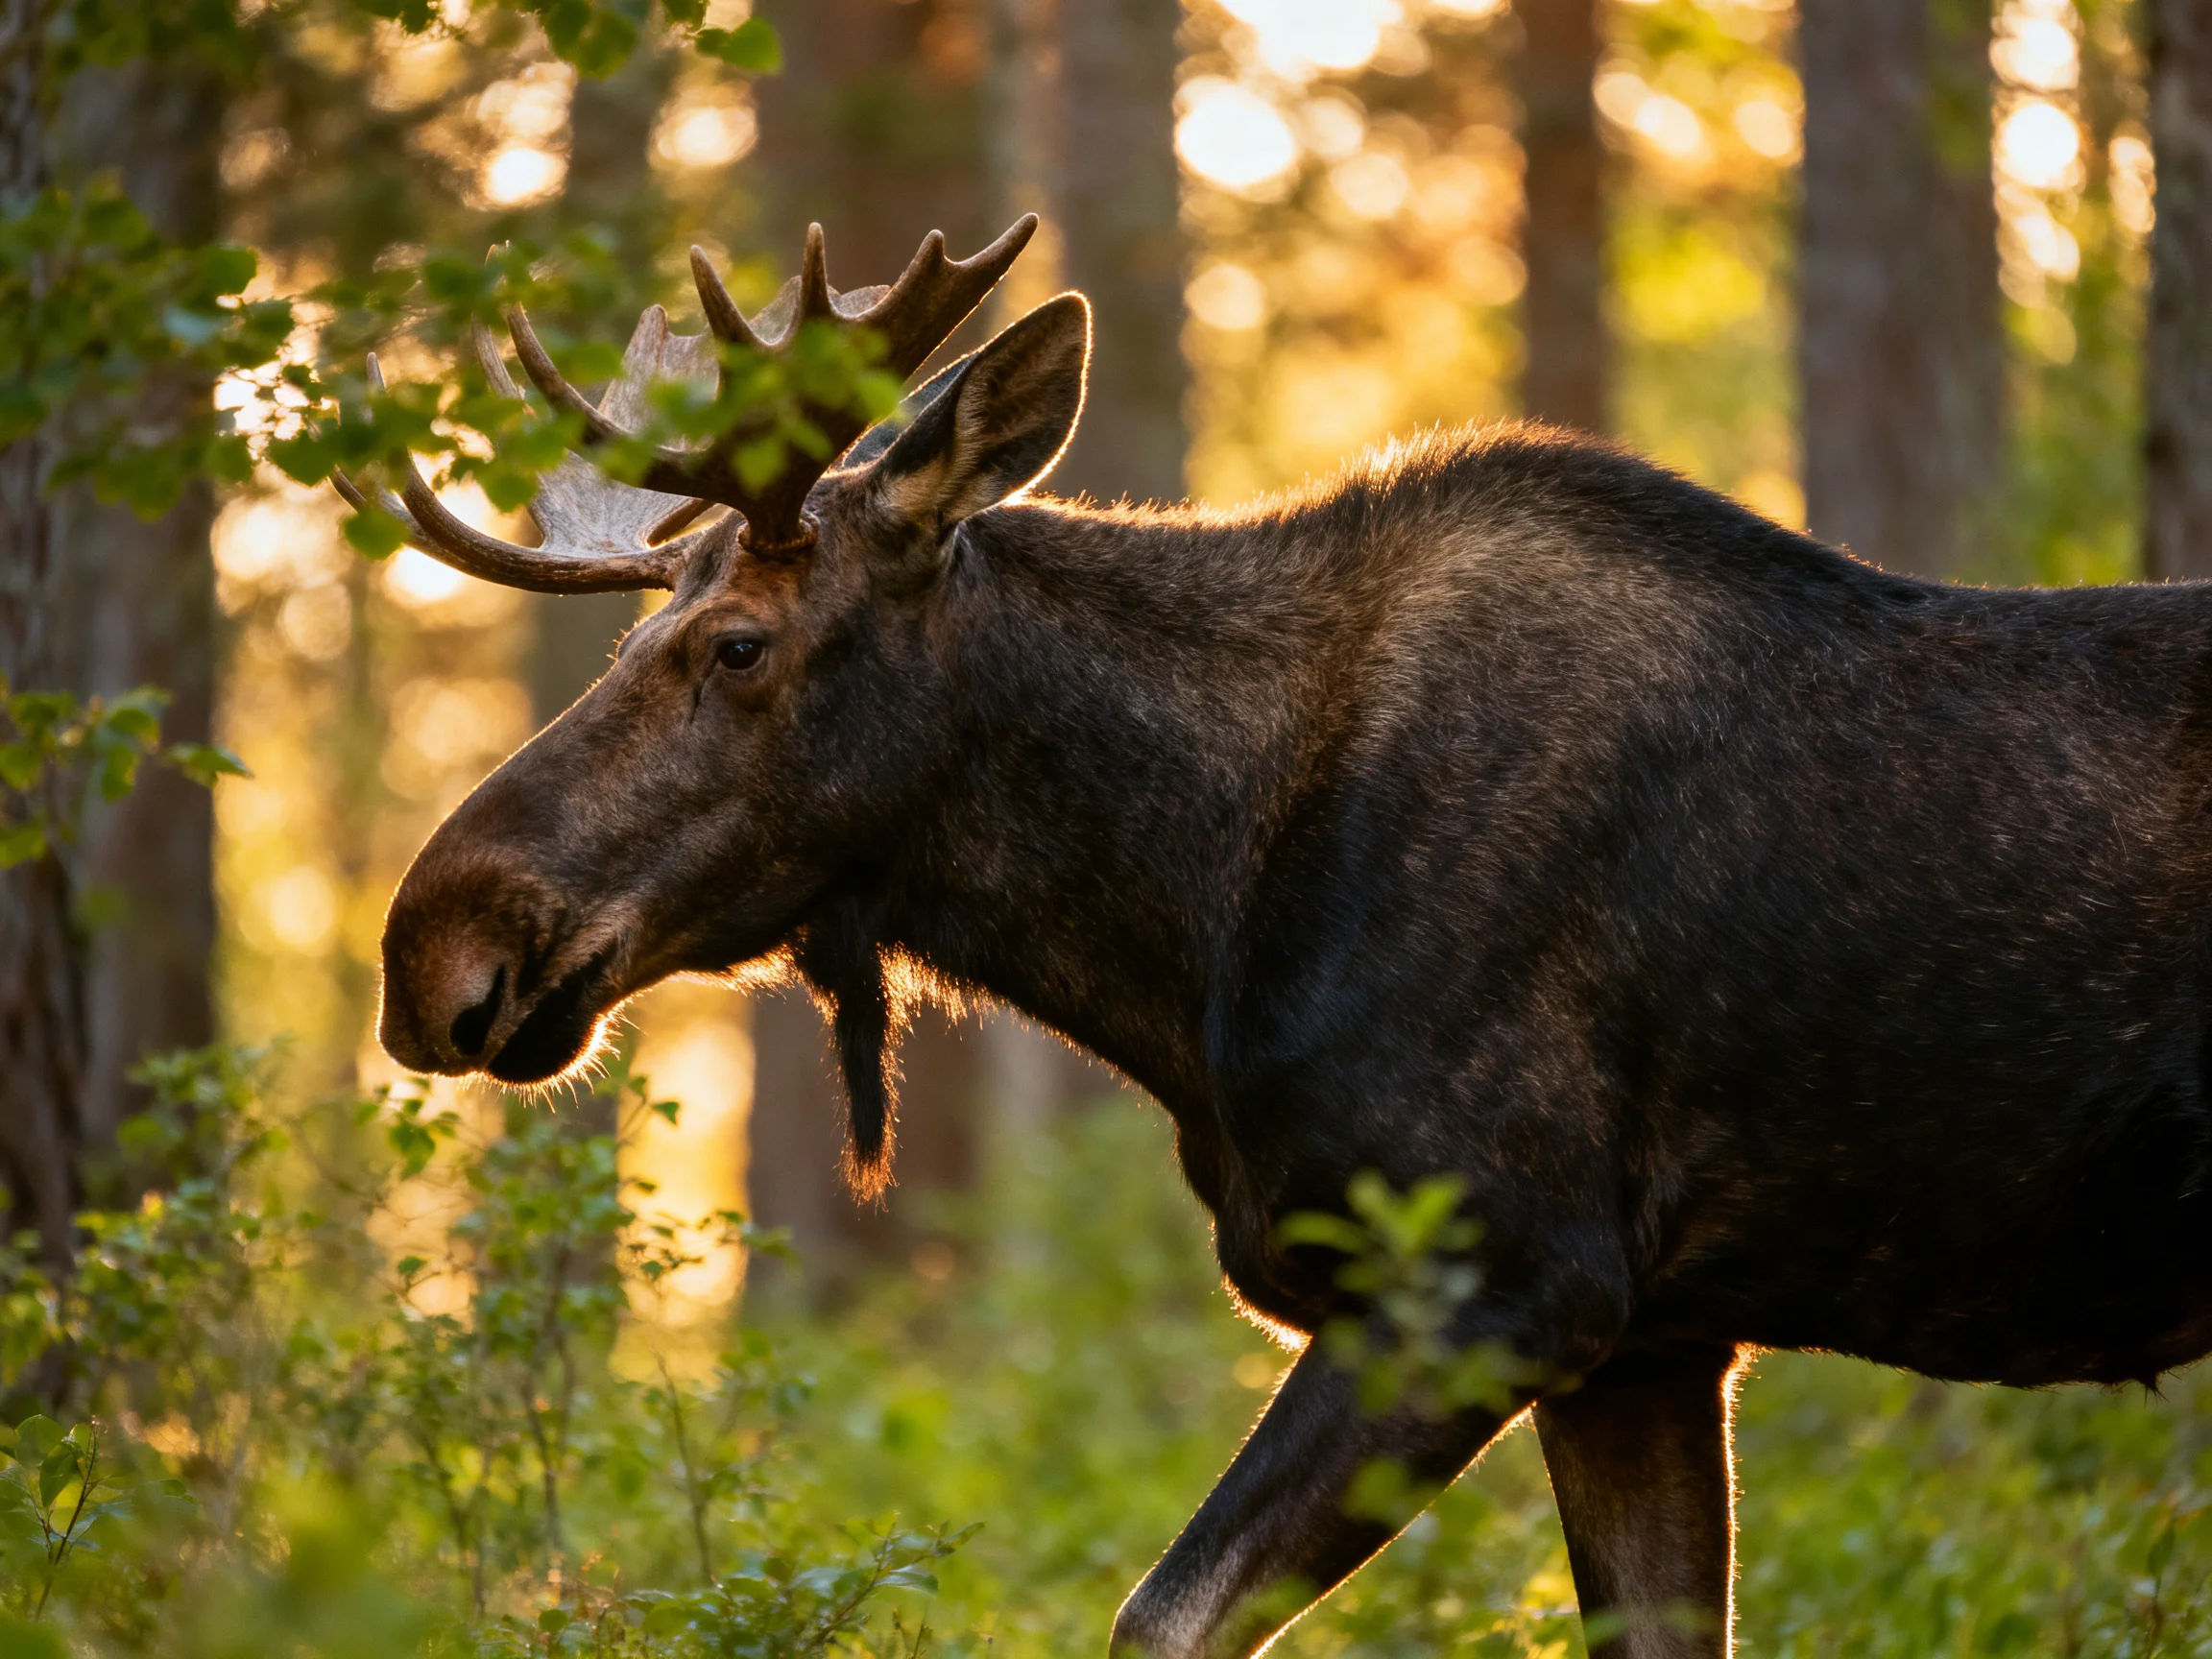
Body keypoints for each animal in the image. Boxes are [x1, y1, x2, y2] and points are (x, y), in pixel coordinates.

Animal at [349, 216, 2212, 1659]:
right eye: (642, 633)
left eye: (734, 643)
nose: (432, 950)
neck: (1189, 928)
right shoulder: (1656, 1341)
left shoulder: (1502, 1277)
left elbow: (1157, 1615)